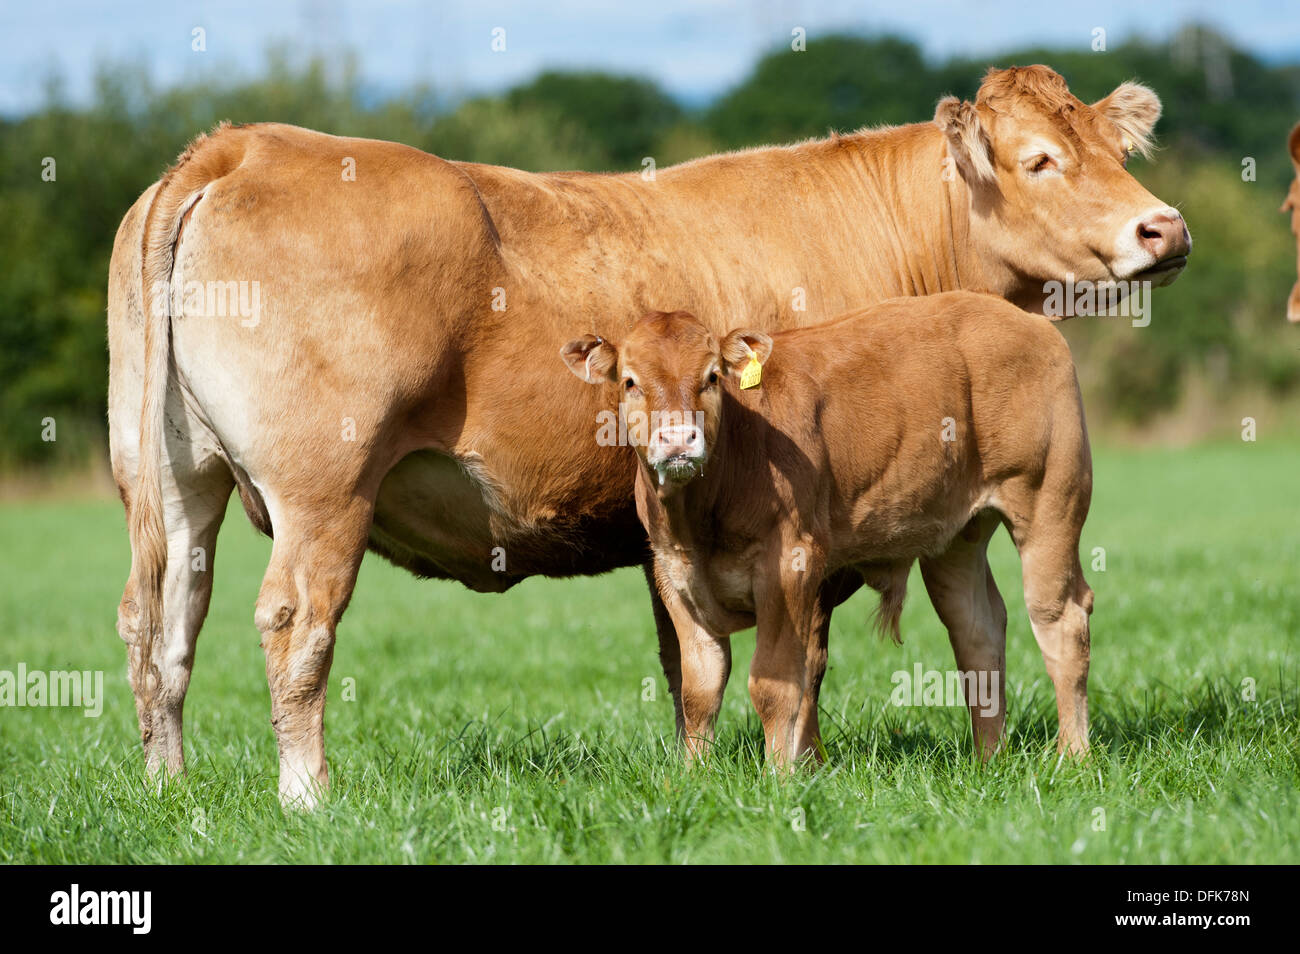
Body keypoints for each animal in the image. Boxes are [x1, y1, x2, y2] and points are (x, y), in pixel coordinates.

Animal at [564, 298, 1092, 769]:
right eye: (630, 382)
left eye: (711, 376)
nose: (678, 439)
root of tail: (1024, 318)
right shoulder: (674, 575)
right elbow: (700, 690)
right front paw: (693, 779)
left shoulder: (787, 564)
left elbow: (776, 684)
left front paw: (779, 780)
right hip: (956, 534)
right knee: (976, 628)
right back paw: (989, 760)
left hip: (1048, 500)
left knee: (1061, 620)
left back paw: (1073, 757)